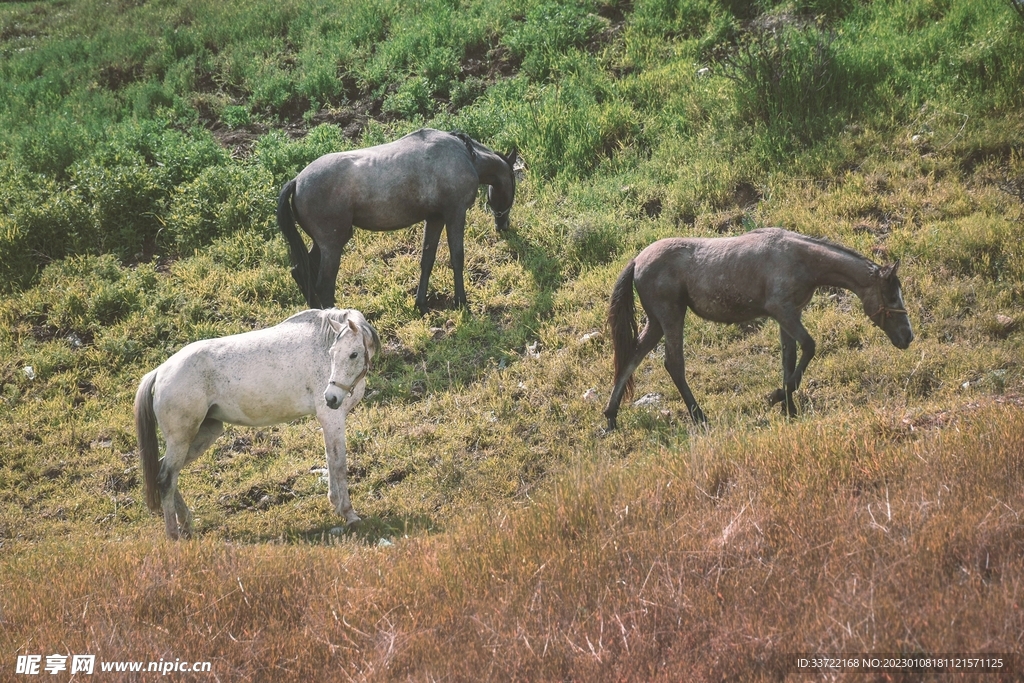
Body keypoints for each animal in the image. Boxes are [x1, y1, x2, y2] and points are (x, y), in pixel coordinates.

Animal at [134, 308, 380, 539]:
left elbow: (331, 461)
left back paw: (186, 523)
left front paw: (337, 506)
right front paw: (349, 513)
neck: (319, 346)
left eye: (353, 354)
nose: (330, 398)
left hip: (202, 435)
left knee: (168, 473)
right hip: (181, 439)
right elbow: (338, 464)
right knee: (166, 479)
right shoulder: (332, 418)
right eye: (332, 353)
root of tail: (160, 371)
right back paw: (174, 535)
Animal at [277, 128, 518, 313]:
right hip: (333, 246)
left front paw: (421, 304)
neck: (463, 154)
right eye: (514, 183)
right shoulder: (455, 214)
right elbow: (457, 257)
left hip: (324, 244)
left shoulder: (435, 218)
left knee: (301, 273)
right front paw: (461, 301)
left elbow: (427, 260)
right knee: (324, 287)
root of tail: (297, 181)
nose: (503, 225)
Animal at [603, 227, 914, 429]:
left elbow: (789, 359)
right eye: (891, 295)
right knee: (673, 364)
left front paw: (789, 407)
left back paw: (611, 417)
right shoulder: (783, 312)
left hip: (656, 323)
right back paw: (699, 417)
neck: (800, 259)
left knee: (631, 358)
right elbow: (809, 347)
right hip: (671, 318)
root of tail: (637, 260)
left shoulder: (788, 317)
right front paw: (778, 397)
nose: (908, 336)